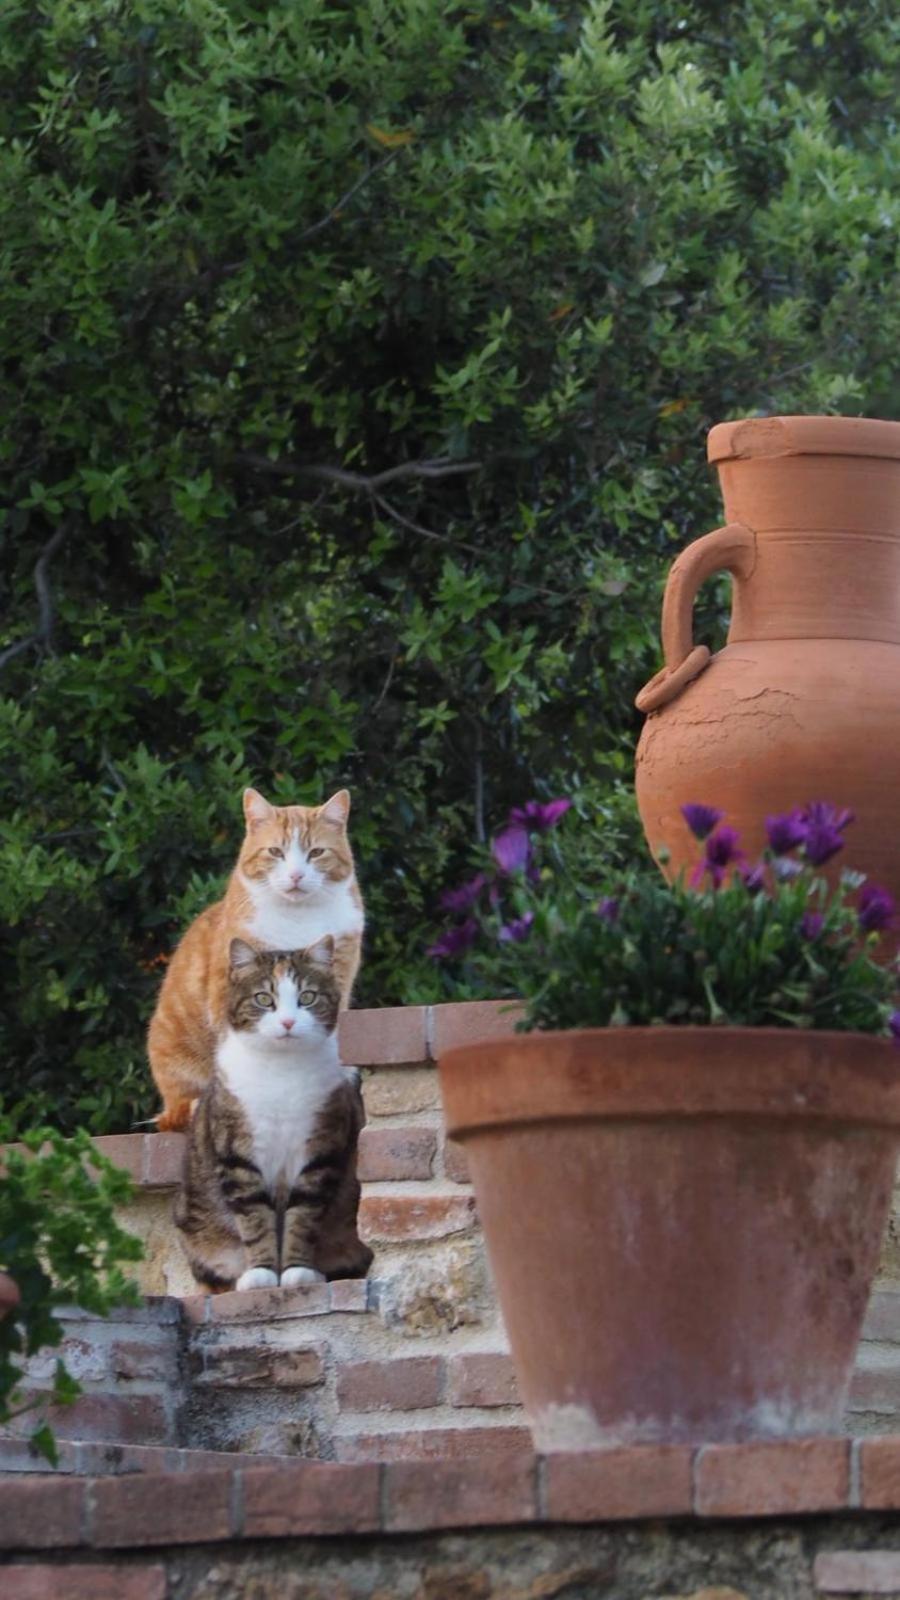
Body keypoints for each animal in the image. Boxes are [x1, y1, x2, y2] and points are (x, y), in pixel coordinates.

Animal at [175, 934, 371, 1286]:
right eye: (264, 999)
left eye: (307, 997)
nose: (288, 1022)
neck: (282, 1069)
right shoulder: (238, 1154)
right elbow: (254, 1218)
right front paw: (262, 1273)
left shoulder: (320, 1150)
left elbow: (303, 1217)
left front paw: (296, 1271)